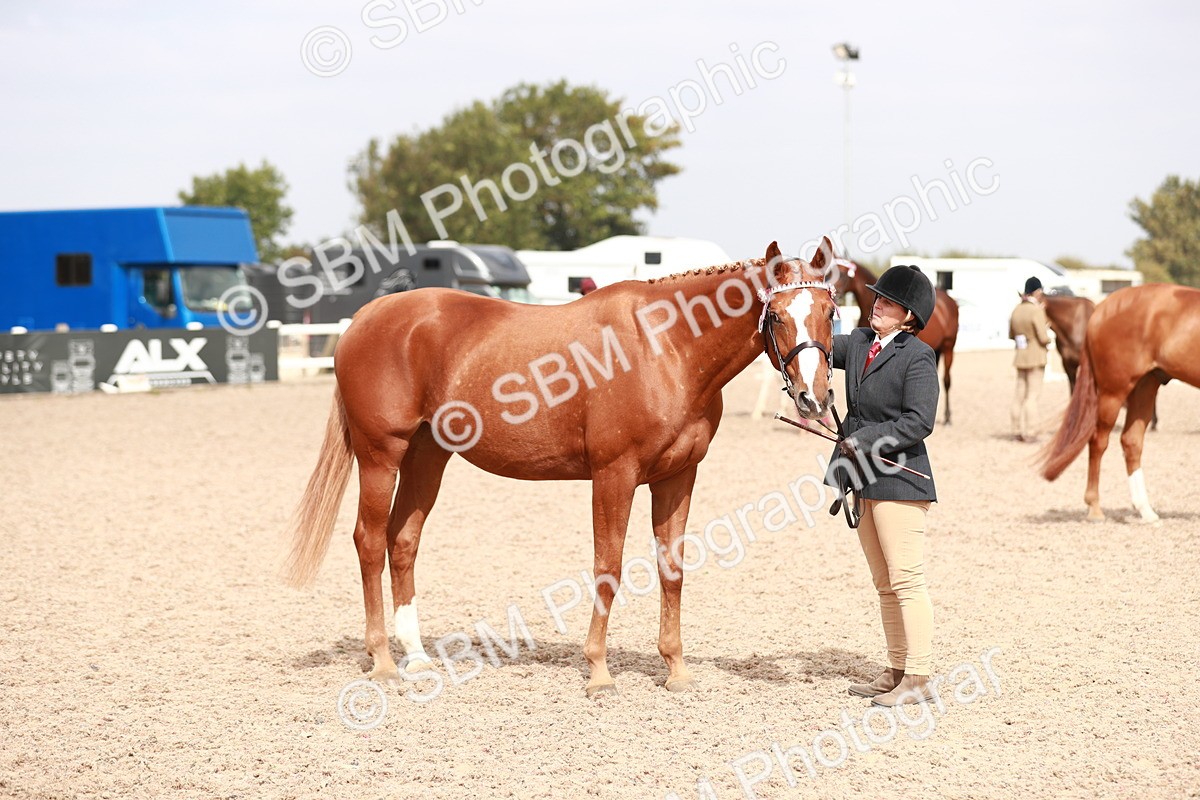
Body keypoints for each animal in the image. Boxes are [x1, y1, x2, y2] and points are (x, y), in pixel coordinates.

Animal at [285, 239, 841, 697]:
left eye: (831, 311)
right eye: (778, 315)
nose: (814, 398)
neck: (665, 347)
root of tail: (367, 315)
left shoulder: (678, 477)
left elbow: (672, 569)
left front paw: (676, 670)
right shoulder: (614, 475)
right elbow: (607, 569)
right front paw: (598, 673)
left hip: (427, 456)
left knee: (402, 541)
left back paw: (418, 658)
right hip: (381, 455)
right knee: (368, 541)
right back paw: (382, 661)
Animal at [832, 260, 960, 423]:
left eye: (841, 274)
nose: (833, 296)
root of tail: (949, 300)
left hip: (949, 346)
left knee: (946, 381)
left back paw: (948, 417)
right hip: (936, 349)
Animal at [1040, 284, 1200, 522]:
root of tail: (1102, 308)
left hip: (1145, 385)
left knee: (1131, 441)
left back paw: (1146, 511)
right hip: (1113, 392)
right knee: (1098, 441)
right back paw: (1095, 508)